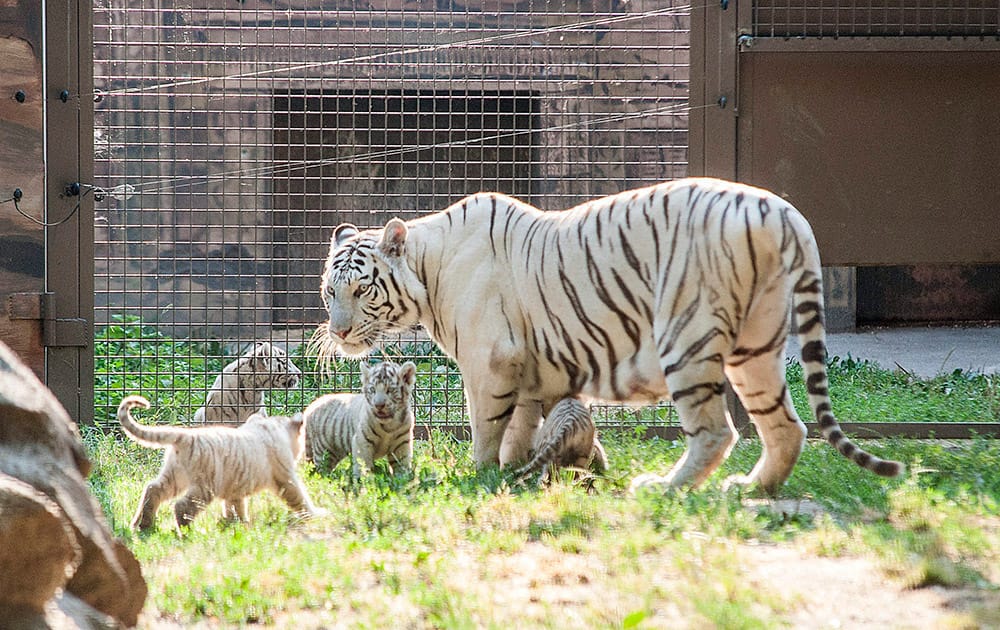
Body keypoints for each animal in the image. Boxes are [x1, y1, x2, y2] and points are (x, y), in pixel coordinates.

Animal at [116, 398, 322, 532]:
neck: (272, 427)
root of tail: (185, 436)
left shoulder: (235, 487)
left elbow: (235, 507)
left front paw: (238, 524)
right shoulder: (285, 478)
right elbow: (300, 498)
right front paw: (316, 515)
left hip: (174, 477)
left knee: (153, 489)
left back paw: (143, 524)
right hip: (206, 486)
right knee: (181, 506)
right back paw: (188, 532)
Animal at [314, 177, 908, 494]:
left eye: (362, 290)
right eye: (327, 291)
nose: (338, 332)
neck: (427, 267)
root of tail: (779, 209)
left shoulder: (491, 363)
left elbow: (487, 428)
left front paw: (479, 476)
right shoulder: (530, 371)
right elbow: (522, 432)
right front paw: (515, 472)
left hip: (687, 340)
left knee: (718, 432)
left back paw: (666, 488)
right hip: (756, 347)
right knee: (786, 426)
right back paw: (751, 489)